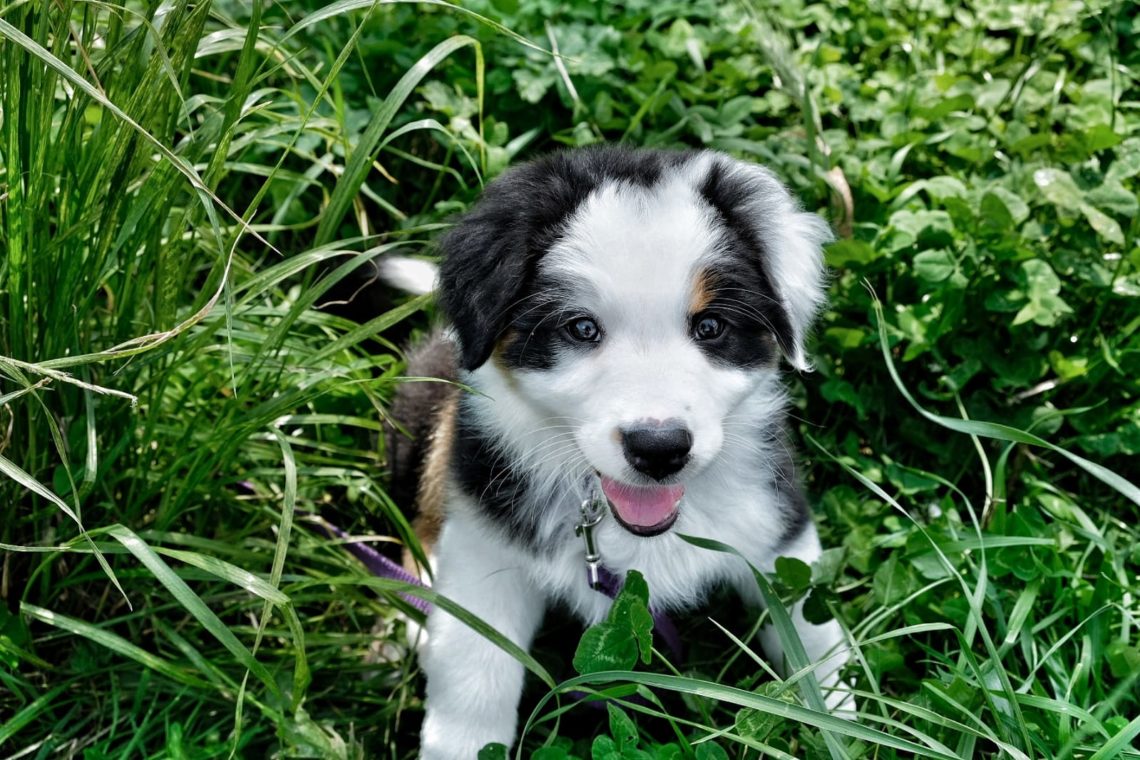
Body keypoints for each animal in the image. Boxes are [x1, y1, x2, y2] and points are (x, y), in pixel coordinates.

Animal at [383, 145, 857, 756]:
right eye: (581, 328)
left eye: (711, 325)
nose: (659, 449)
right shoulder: (485, 547)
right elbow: (475, 676)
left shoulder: (776, 527)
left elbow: (813, 637)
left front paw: (853, 723)